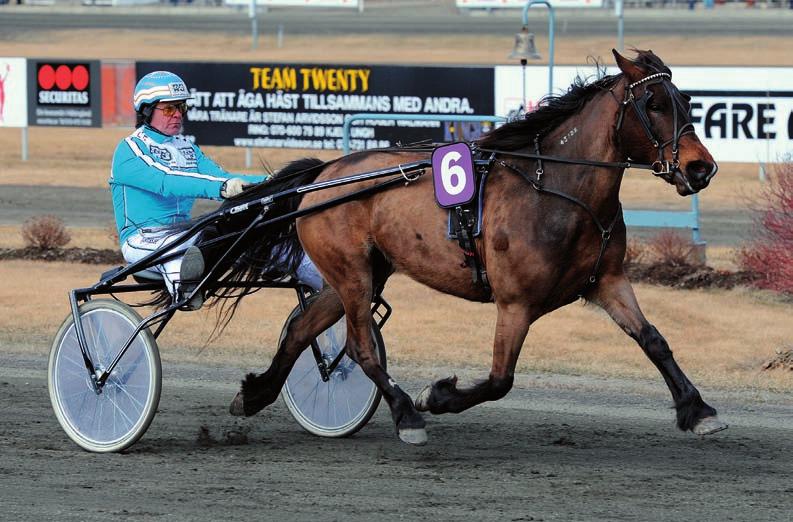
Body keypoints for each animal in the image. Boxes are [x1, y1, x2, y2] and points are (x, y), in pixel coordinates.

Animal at [223, 50, 724, 442]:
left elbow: (654, 340)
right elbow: (501, 380)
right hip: (353, 274)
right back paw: (405, 413)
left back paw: (256, 393)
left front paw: (697, 409)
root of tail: (324, 174)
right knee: (360, 345)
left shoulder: (608, 280)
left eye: (687, 101)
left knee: (302, 328)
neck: (558, 191)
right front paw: (436, 396)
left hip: (360, 273)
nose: (701, 168)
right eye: (653, 103)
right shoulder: (516, 302)